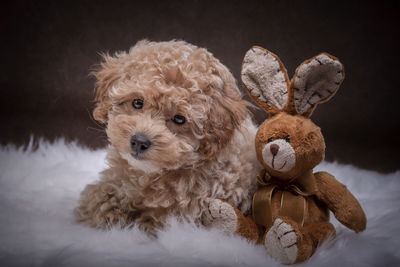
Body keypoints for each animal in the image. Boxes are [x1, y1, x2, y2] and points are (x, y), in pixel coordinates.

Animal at [74, 39, 262, 234]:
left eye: (179, 119)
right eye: (137, 102)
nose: (139, 142)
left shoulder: (184, 214)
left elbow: (152, 222)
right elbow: (97, 199)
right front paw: (108, 212)